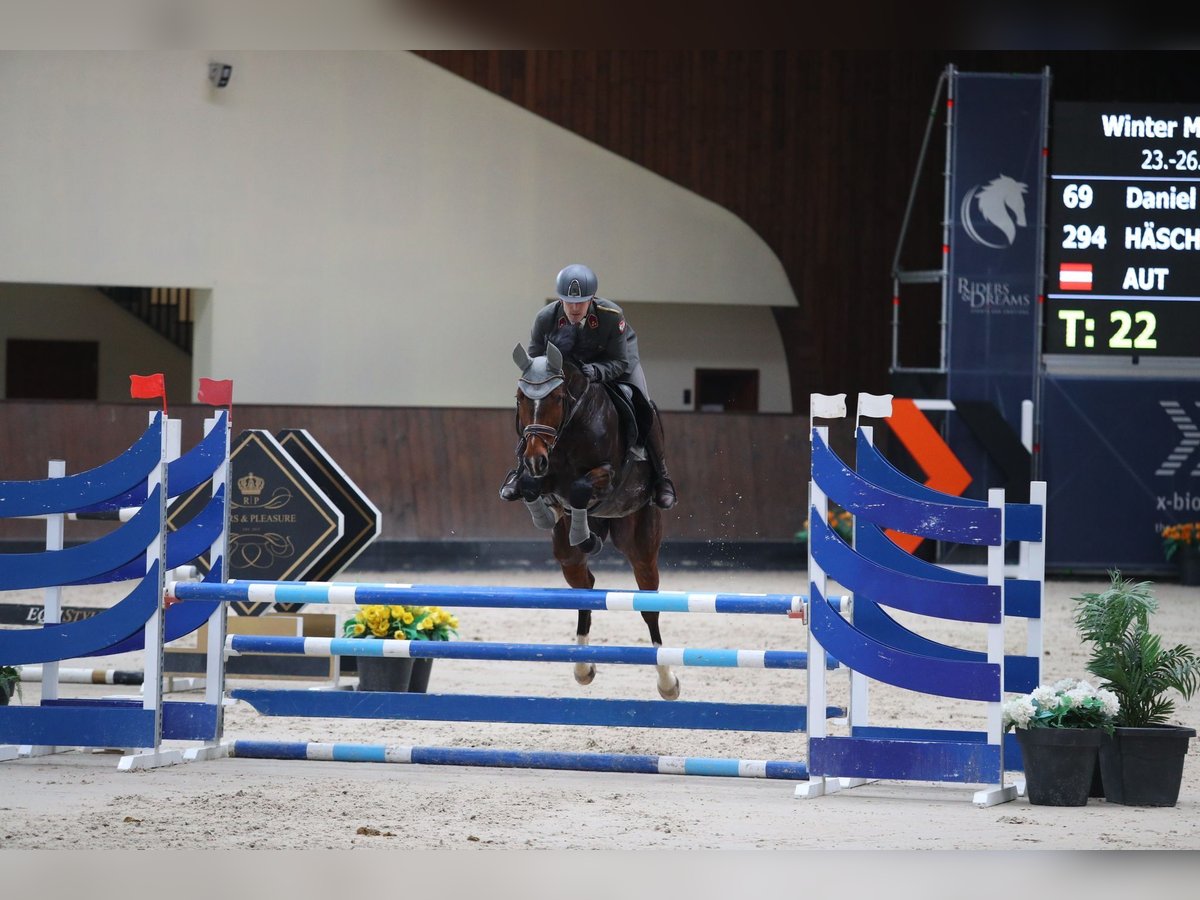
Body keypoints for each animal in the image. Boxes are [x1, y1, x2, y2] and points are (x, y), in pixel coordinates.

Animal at [506, 340, 681, 700]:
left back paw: (667, 682)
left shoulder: (607, 474)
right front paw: (545, 510)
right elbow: (531, 486)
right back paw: (583, 667)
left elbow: (580, 487)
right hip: (566, 557)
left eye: (558, 398)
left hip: (640, 543)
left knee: (649, 605)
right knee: (584, 587)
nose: (534, 457)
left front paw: (582, 529)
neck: (571, 426)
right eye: (520, 399)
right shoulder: (543, 474)